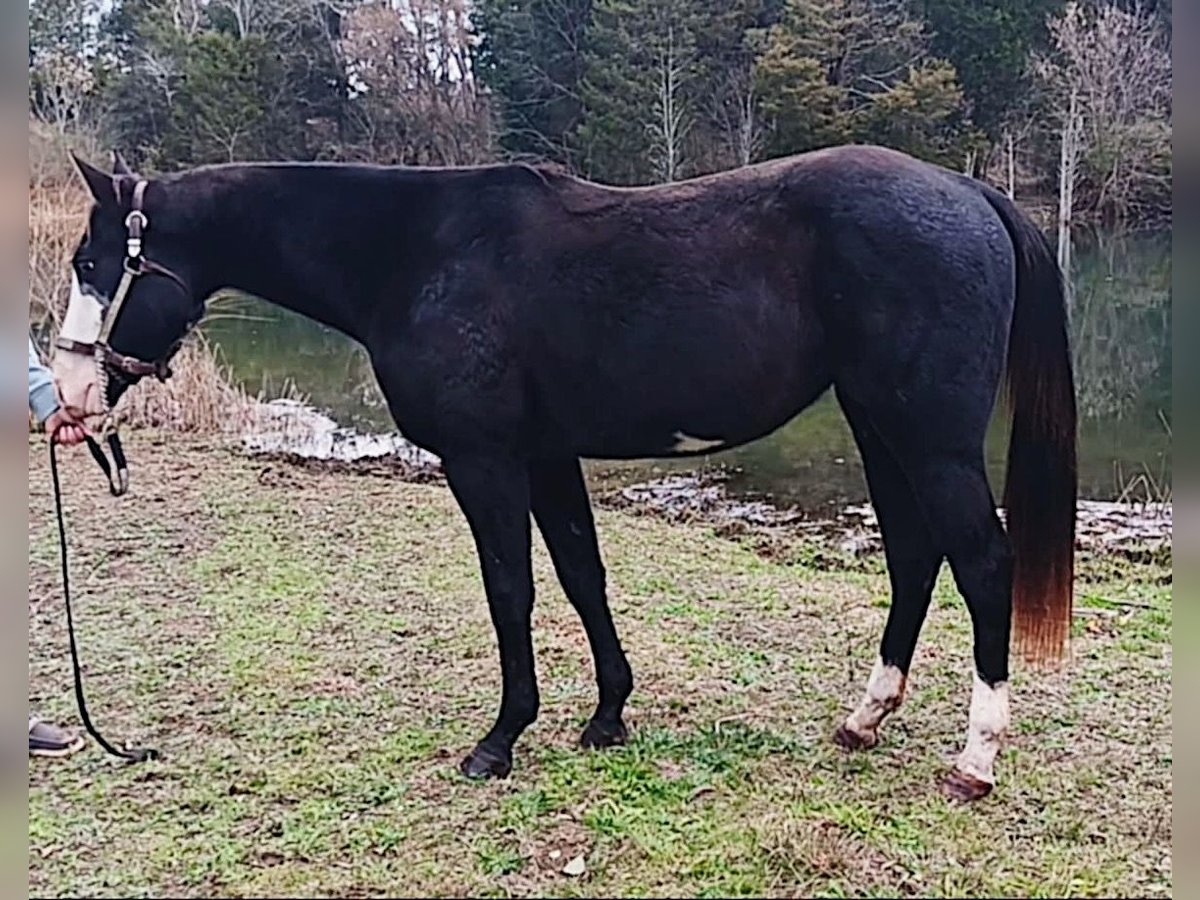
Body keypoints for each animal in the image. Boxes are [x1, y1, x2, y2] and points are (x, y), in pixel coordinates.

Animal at [51, 148, 1075, 801]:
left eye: (95, 260)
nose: (68, 390)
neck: (419, 253)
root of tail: (969, 191)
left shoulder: (486, 462)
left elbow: (512, 591)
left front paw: (501, 740)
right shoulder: (545, 457)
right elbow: (583, 576)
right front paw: (608, 715)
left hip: (928, 437)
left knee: (983, 566)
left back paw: (976, 761)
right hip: (881, 428)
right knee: (914, 558)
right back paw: (866, 718)